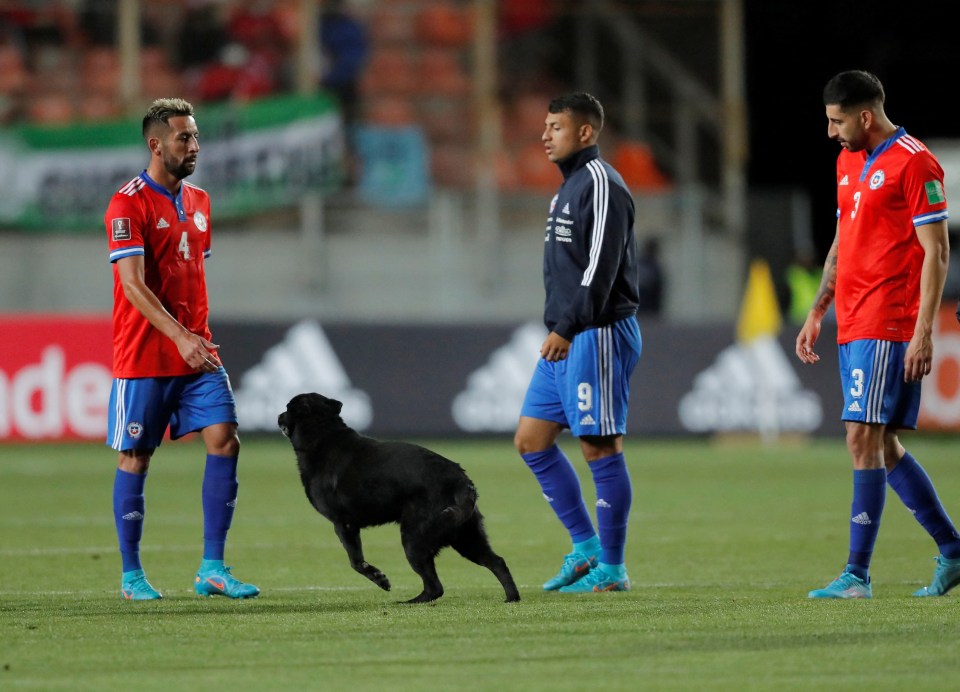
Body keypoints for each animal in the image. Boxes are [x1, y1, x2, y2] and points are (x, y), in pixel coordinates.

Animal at [278, 392, 520, 604]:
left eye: (288, 407)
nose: (279, 415)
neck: (322, 436)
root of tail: (462, 481)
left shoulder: (343, 523)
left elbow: (356, 562)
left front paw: (379, 578)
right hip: (466, 538)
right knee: (497, 563)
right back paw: (512, 598)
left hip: (414, 539)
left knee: (435, 587)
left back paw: (410, 602)